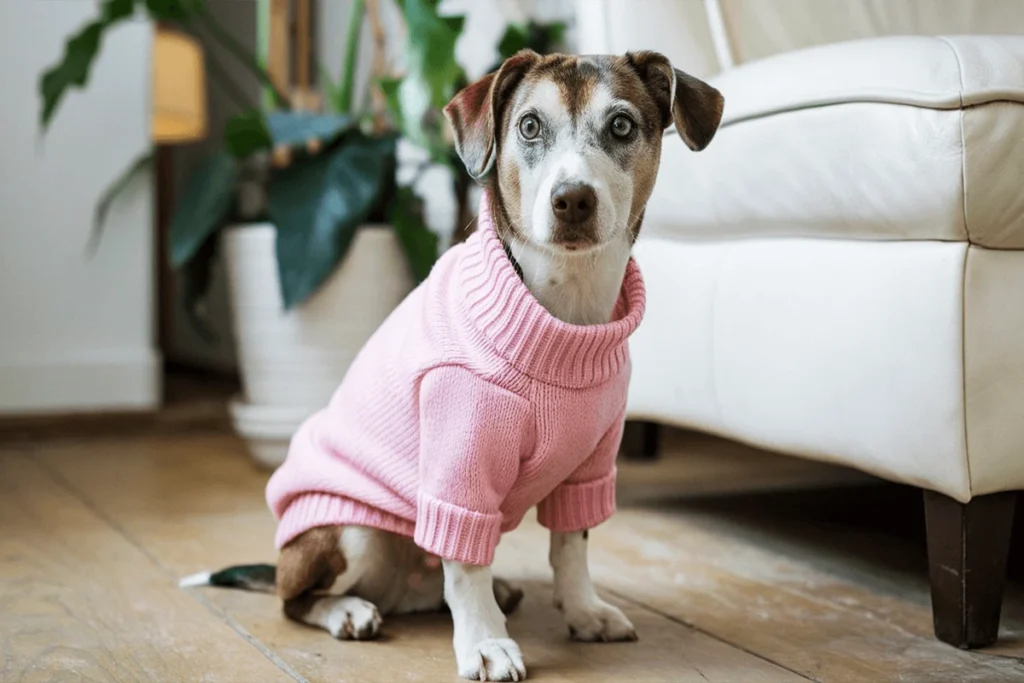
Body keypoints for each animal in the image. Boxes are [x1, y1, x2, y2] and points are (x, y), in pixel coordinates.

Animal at [180, 50, 724, 679]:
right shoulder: (460, 468)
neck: (565, 314)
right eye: (529, 126)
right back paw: (348, 611)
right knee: (295, 600)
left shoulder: (589, 464)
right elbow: (465, 567)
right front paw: (486, 642)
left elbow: (571, 545)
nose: (572, 200)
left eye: (621, 125)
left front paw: (584, 611)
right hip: (350, 535)